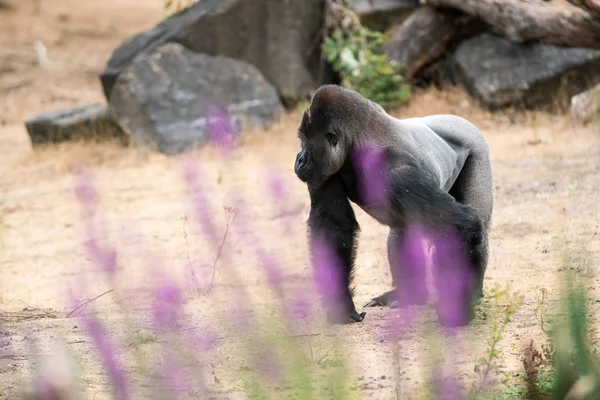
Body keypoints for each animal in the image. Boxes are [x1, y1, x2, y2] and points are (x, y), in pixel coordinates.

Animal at [292, 84, 494, 328]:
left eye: (305, 142)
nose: (299, 159)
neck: (358, 141)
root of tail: (459, 120)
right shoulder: (326, 171)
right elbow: (334, 226)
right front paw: (342, 306)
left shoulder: (398, 173)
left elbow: (459, 225)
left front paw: (456, 311)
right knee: (402, 232)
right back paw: (410, 295)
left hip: (478, 147)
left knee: (475, 223)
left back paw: (473, 294)